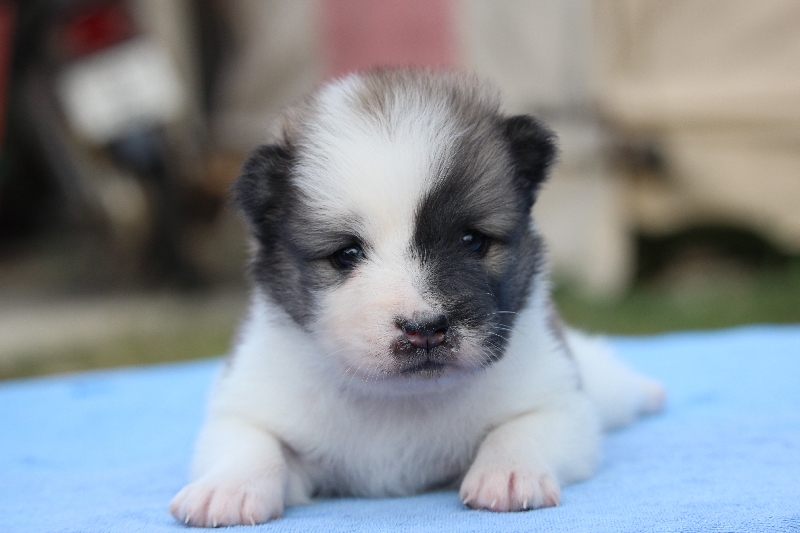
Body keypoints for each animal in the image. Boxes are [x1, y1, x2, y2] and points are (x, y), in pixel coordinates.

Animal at [169, 69, 665, 527]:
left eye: (472, 240)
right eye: (346, 254)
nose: (424, 329)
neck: (402, 399)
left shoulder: (561, 407)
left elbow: (521, 430)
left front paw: (509, 472)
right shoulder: (247, 405)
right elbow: (252, 442)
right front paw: (227, 487)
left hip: (599, 385)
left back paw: (651, 390)